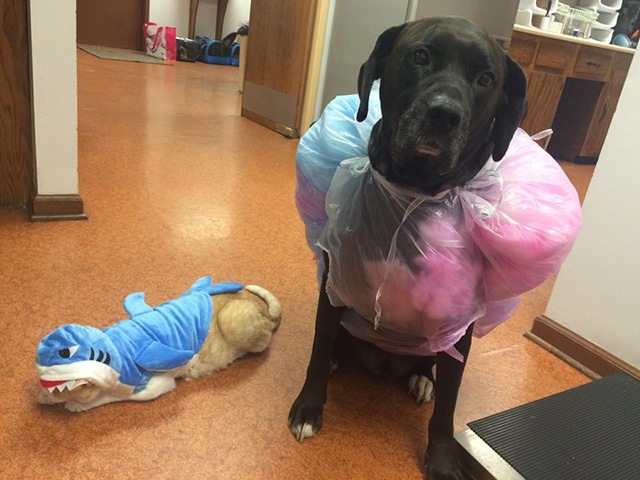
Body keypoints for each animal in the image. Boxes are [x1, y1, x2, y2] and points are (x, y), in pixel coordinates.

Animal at [37, 282, 282, 412]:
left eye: (56, 389)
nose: (38, 396)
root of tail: (261, 309)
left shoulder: (152, 387)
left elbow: (111, 397)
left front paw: (75, 404)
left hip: (233, 319)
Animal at [288, 15, 524, 480]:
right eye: (420, 56)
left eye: (486, 79)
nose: (444, 114)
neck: (415, 194)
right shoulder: (334, 284)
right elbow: (318, 351)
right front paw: (308, 407)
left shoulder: (459, 324)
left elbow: (448, 407)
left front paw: (444, 460)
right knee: (333, 343)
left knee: (431, 366)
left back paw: (422, 377)